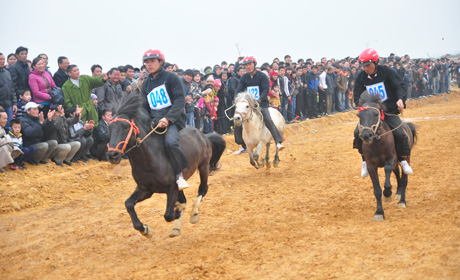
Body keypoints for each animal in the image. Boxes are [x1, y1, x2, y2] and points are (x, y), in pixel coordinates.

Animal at [106, 93, 225, 236]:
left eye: (125, 126)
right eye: (110, 127)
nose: (112, 155)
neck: (149, 159)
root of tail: (203, 135)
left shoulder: (172, 187)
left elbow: (168, 215)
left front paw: (177, 212)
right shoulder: (145, 189)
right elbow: (128, 204)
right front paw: (145, 230)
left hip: (203, 166)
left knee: (203, 189)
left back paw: (193, 215)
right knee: (184, 199)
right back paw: (176, 228)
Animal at [356, 92, 416, 221]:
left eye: (375, 114)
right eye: (359, 115)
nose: (366, 135)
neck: (377, 142)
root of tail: (406, 125)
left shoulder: (390, 159)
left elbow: (387, 179)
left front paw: (387, 194)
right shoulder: (371, 166)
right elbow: (377, 190)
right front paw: (379, 212)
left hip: (406, 157)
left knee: (404, 178)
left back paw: (402, 200)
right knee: (397, 173)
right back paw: (398, 193)